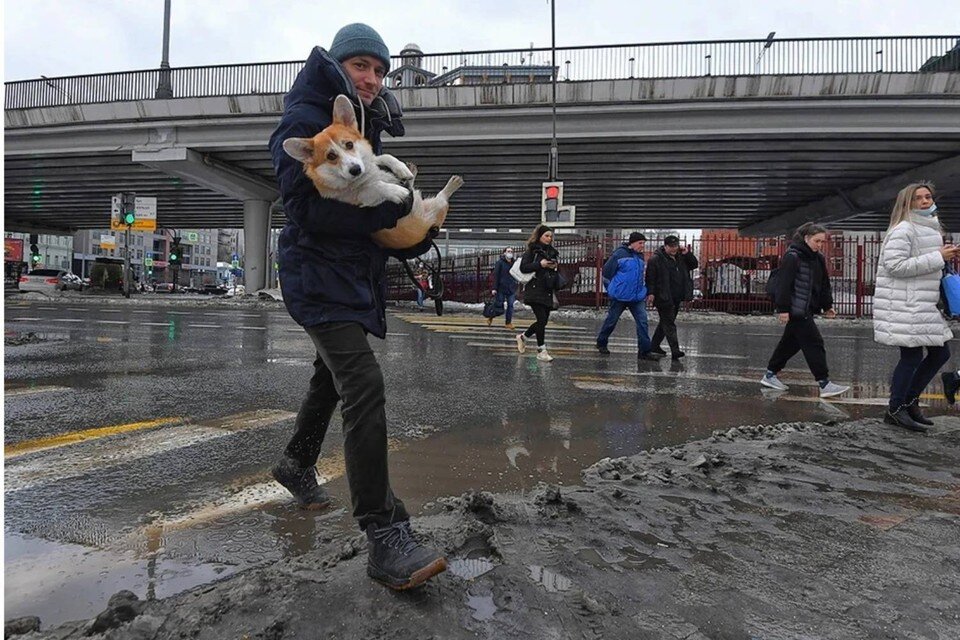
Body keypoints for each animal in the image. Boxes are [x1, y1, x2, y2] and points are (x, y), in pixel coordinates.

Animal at [280, 95, 464, 250]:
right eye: (331, 156)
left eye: (349, 144)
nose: (355, 169)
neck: (364, 176)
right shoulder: (364, 202)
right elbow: (375, 187)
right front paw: (395, 190)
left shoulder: (372, 161)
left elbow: (384, 157)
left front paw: (400, 167)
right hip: (437, 206)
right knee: (442, 197)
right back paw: (452, 183)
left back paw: (411, 171)